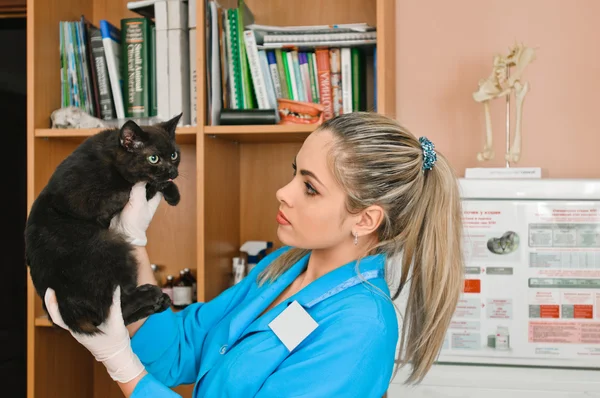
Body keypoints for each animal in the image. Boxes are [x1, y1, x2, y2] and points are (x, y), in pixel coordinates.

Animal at [24, 113, 183, 334]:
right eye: (154, 158)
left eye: (174, 155)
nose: (173, 172)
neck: (111, 159)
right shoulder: (103, 201)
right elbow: (145, 185)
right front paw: (170, 190)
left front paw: (172, 190)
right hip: (111, 247)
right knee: (112, 310)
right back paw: (151, 295)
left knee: (112, 318)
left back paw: (159, 302)